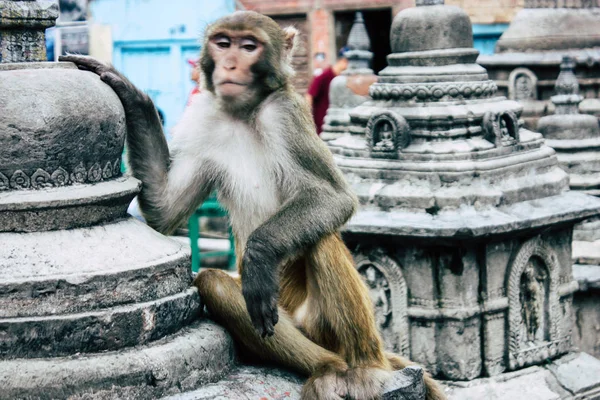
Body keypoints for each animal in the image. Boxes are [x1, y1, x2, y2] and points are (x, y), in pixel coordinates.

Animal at [59, 10, 446, 400]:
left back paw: (364, 367)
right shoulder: (203, 118)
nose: (230, 64)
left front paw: (259, 257)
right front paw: (130, 94)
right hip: (295, 322)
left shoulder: (287, 114)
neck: (243, 112)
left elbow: (333, 197)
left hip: (318, 321)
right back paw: (326, 368)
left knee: (321, 240)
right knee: (215, 283)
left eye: (248, 46)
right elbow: (164, 208)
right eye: (223, 43)